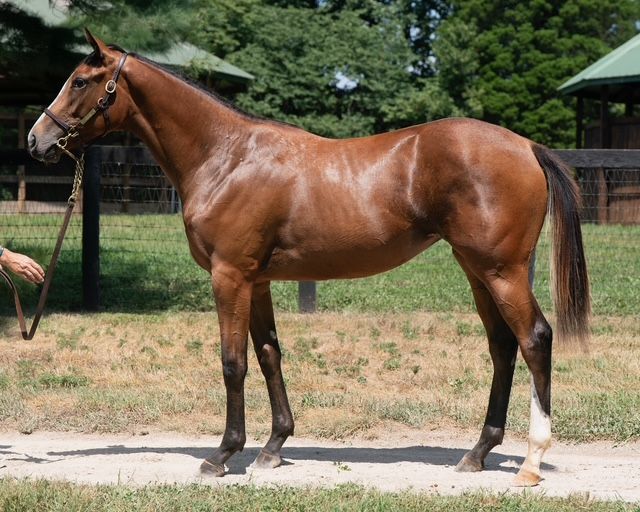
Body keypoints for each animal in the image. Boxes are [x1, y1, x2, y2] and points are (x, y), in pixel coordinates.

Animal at [28, 30, 590, 487]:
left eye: (80, 81)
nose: (37, 140)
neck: (227, 156)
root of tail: (527, 146)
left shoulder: (229, 277)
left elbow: (233, 363)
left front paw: (222, 455)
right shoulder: (256, 281)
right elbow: (269, 355)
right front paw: (273, 447)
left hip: (501, 271)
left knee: (534, 339)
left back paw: (531, 462)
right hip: (477, 271)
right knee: (502, 346)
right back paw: (477, 453)